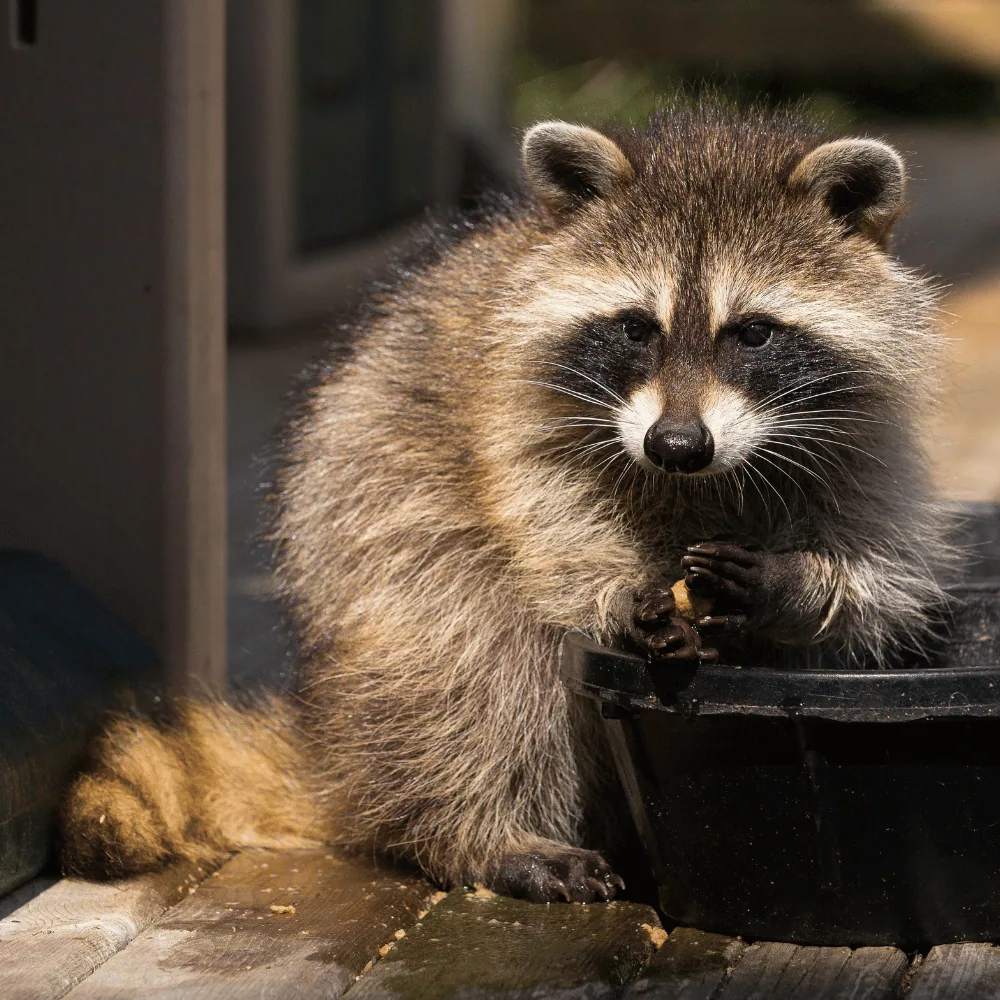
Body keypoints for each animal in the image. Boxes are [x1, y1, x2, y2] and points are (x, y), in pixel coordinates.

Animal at [62, 102, 950, 903]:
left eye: (755, 332)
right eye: (637, 328)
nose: (675, 444)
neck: (699, 482)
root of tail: (332, 746)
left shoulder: (863, 439)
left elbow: (877, 583)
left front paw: (796, 585)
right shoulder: (514, 412)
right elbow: (540, 525)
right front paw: (614, 591)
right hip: (379, 536)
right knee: (472, 658)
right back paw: (482, 832)